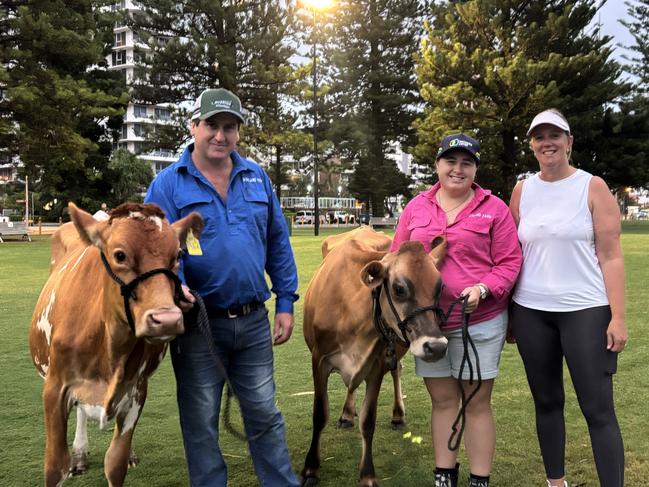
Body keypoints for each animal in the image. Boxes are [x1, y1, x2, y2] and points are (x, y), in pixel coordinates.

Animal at [29, 203, 201, 487]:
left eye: (177, 255)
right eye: (120, 255)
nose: (167, 319)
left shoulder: (136, 390)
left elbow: (115, 462)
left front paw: (124, 456)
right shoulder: (54, 388)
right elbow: (55, 467)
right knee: (80, 412)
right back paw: (79, 454)